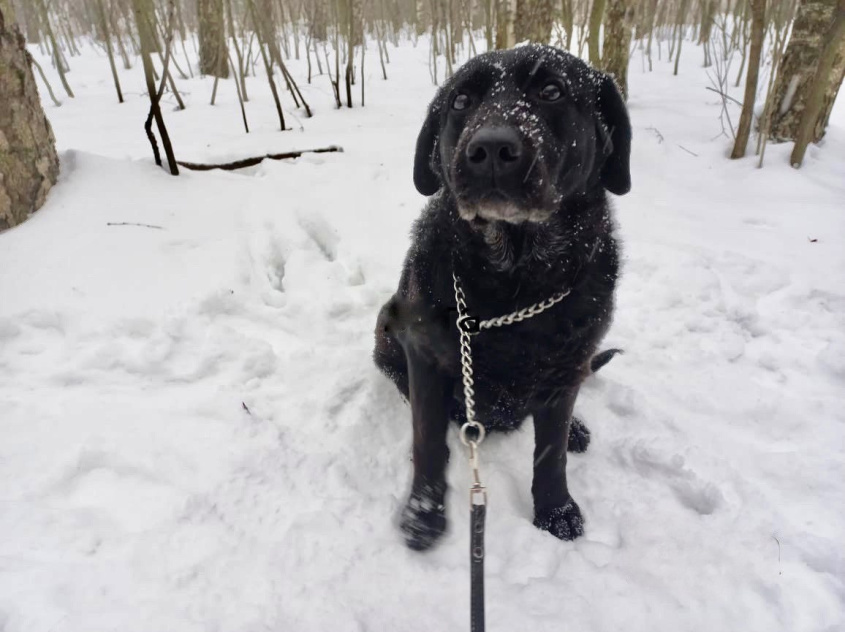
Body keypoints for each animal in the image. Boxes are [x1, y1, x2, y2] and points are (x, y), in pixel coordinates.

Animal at [372, 44, 628, 552]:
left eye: (552, 90)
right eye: (460, 101)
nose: (490, 149)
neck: (516, 285)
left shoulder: (568, 366)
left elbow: (551, 453)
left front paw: (556, 510)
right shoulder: (425, 354)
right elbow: (427, 442)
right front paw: (423, 515)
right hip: (387, 324)